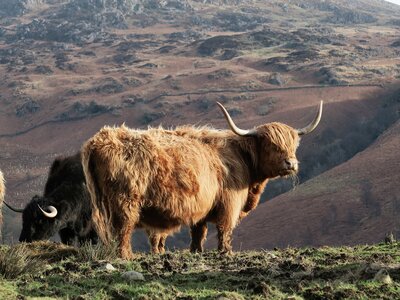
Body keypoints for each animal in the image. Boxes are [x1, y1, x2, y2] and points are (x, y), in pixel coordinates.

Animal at [83, 101, 324, 258]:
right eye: (272, 145)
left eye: (293, 145)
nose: (291, 163)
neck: (243, 158)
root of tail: (98, 140)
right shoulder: (229, 203)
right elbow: (224, 230)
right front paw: (225, 252)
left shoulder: (202, 205)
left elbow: (199, 232)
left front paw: (196, 252)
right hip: (126, 202)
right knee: (123, 230)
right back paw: (126, 256)